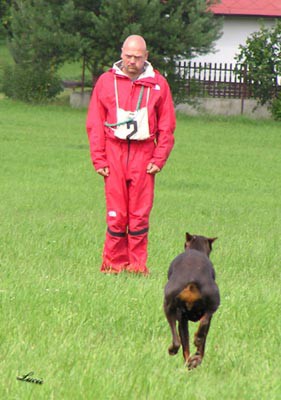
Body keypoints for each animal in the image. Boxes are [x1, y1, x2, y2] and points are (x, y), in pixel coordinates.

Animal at [163, 233, 220, 370]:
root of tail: (193, 277)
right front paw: (195, 360)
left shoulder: (182, 319)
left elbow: (186, 347)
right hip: (214, 301)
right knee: (204, 324)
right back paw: (196, 345)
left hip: (168, 306)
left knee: (177, 340)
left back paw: (175, 350)